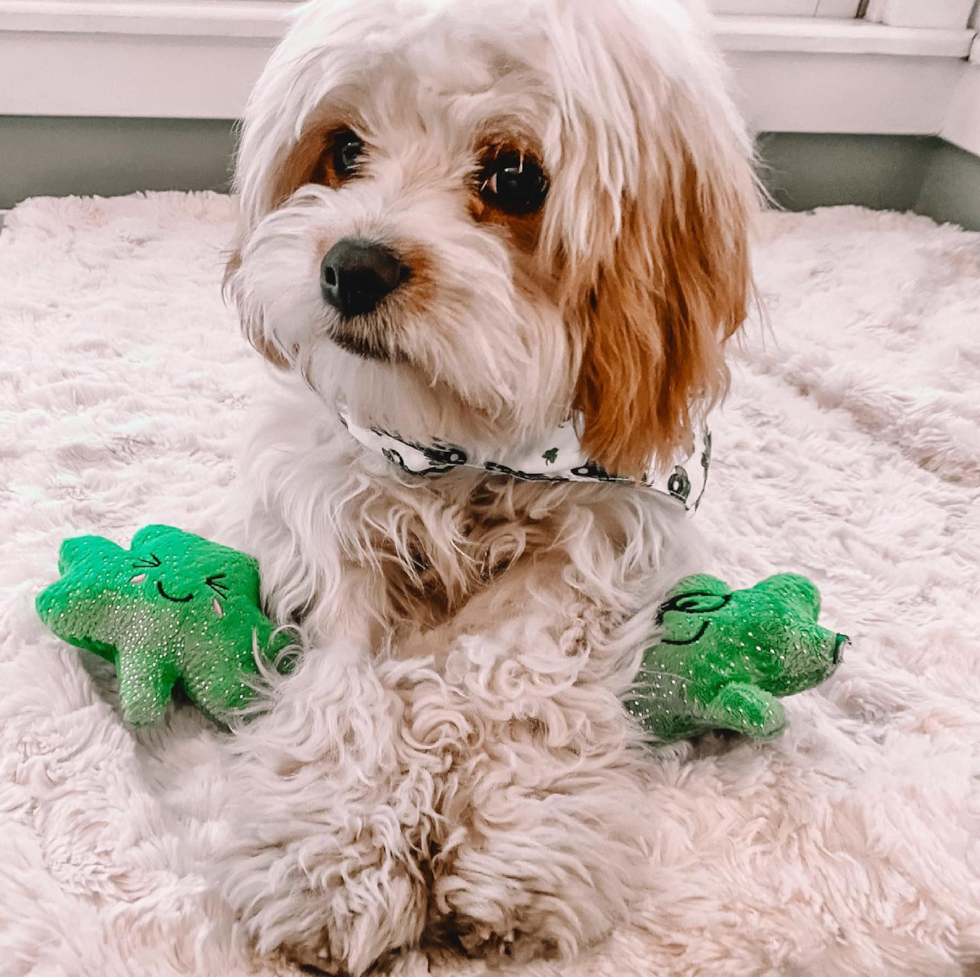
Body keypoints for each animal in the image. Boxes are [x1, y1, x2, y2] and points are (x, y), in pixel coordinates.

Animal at [222, 0, 756, 968]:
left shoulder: (606, 535)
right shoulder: (327, 514)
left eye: (514, 177)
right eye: (344, 148)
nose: (351, 266)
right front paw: (331, 853)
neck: (463, 446)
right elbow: (349, 674)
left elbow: (509, 671)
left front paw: (521, 840)